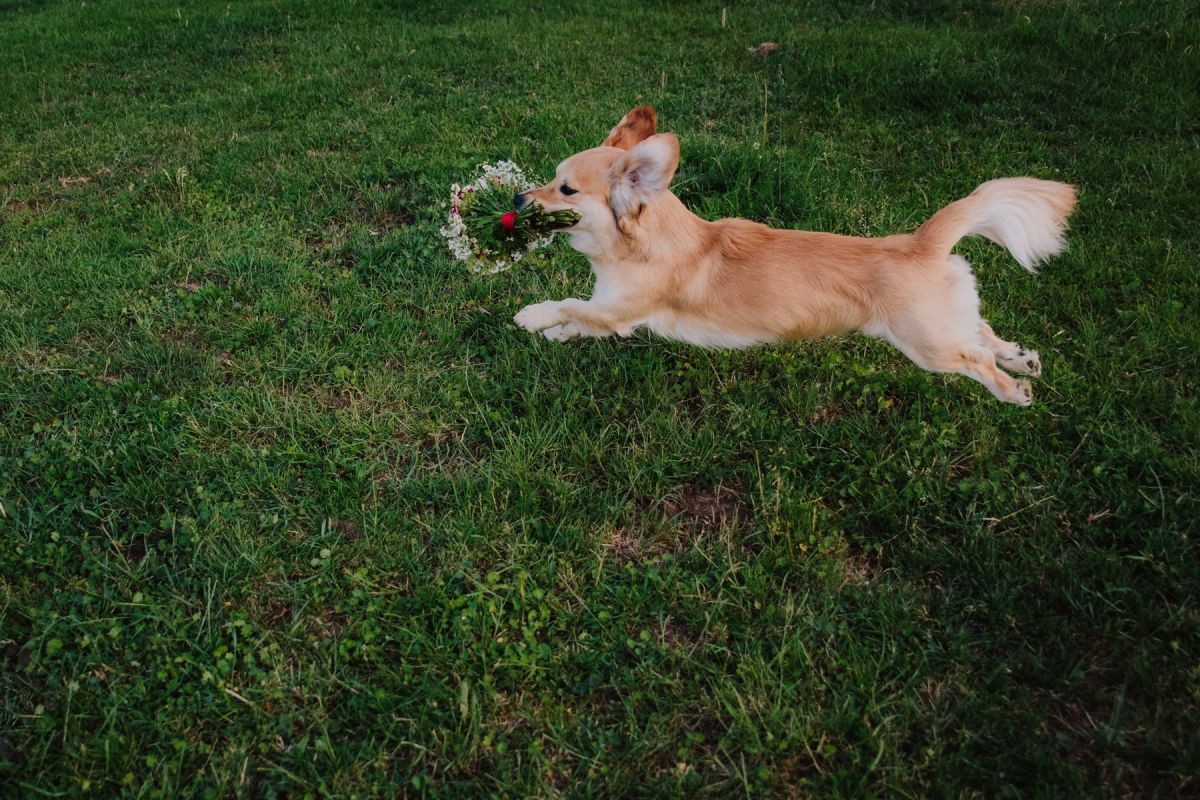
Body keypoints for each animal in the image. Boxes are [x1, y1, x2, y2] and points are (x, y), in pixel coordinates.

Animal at [511, 104, 1075, 407]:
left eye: (565, 189)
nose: (516, 198)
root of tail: (920, 241)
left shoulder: (619, 310)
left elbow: (570, 304)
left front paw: (534, 316)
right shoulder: (613, 314)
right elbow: (579, 318)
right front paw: (556, 334)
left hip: (926, 346)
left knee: (975, 357)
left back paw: (1011, 389)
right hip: (943, 323)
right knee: (982, 330)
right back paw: (1022, 358)